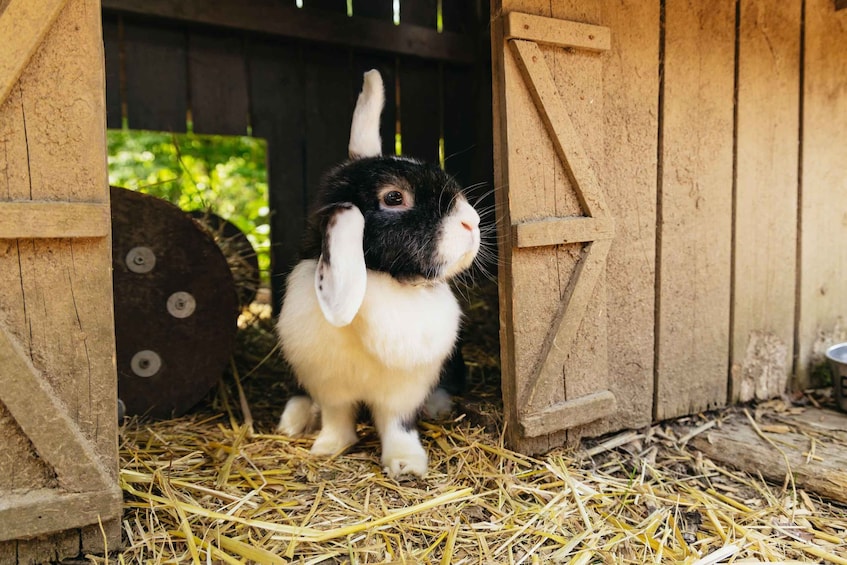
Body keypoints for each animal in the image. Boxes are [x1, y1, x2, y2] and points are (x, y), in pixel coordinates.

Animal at [276, 69, 481, 478]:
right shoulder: (330, 386)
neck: (386, 280)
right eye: (393, 198)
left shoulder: (402, 391)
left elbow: (397, 425)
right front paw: (328, 447)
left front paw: (406, 464)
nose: (473, 222)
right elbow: (337, 418)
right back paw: (293, 421)